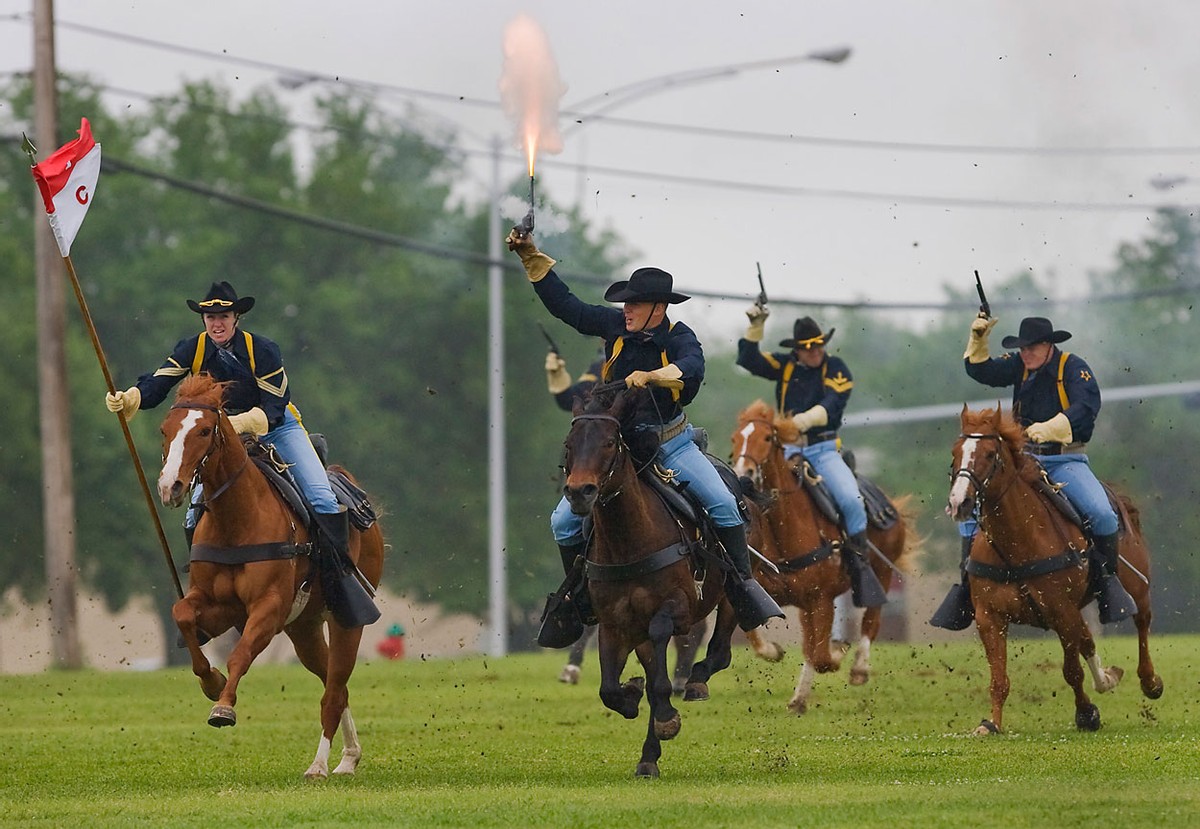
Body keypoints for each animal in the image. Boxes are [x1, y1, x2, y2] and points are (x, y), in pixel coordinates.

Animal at [153, 376, 379, 777]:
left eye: (205, 430)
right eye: (165, 430)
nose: (170, 488)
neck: (237, 519)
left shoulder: (268, 608)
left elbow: (240, 655)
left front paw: (223, 708)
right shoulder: (220, 608)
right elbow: (182, 615)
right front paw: (212, 683)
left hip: (346, 619)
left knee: (334, 690)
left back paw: (319, 765)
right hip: (304, 628)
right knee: (333, 684)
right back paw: (349, 757)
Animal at [559, 386, 739, 782]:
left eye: (610, 441)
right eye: (569, 443)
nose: (580, 492)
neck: (629, 540)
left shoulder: (678, 607)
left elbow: (661, 659)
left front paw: (666, 716)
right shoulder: (613, 624)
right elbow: (610, 688)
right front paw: (631, 695)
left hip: (731, 588)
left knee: (722, 643)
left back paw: (695, 681)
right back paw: (648, 756)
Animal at [724, 400, 912, 715]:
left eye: (767, 438)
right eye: (735, 438)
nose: (744, 472)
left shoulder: (820, 600)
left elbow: (822, 654)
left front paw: (838, 651)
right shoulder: (771, 595)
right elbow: (762, 640)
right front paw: (774, 651)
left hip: (880, 573)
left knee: (870, 620)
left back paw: (858, 668)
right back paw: (800, 698)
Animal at [945, 405, 1161, 734]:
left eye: (990, 454)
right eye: (956, 452)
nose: (960, 502)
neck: (1018, 542)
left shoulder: (1062, 611)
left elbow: (1072, 671)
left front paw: (1086, 713)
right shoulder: (989, 617)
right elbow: (999, 679)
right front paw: (990, 723)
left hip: (1137, 588)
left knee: (1141, 623)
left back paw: (1150, 682)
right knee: (1088, 638)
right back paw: (1106, 678)